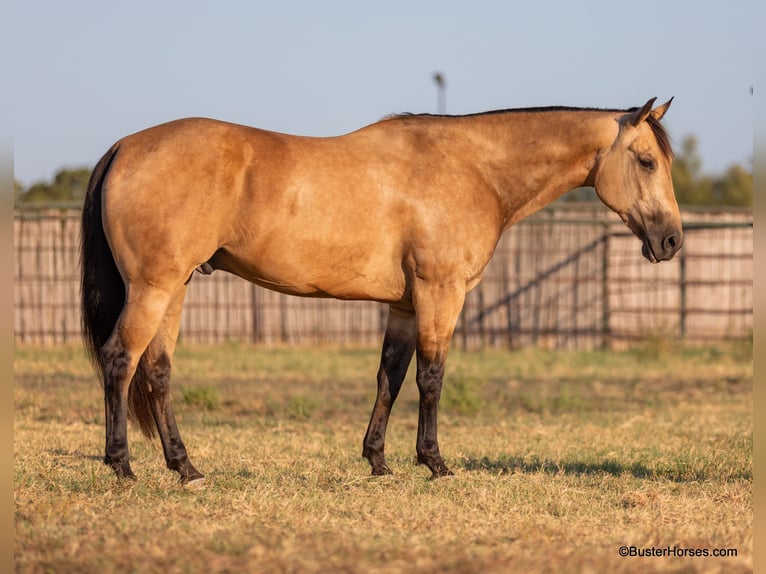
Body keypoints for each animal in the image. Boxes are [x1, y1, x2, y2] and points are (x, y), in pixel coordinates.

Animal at [82, 95, 684, 486]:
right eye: (646, 161)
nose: (672, 240)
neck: (473, 169)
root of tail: (125, 146)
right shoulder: (441, 294)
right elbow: (431, 377)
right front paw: (435, 463)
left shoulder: (403, 305)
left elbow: (389, 378)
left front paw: (377, 460)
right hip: (153, 287)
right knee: (120, 360)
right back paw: (122, 466)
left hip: (175, 287)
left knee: (157, 371)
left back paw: (186, 469)